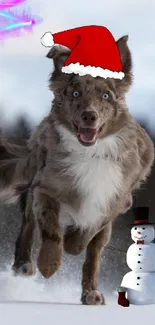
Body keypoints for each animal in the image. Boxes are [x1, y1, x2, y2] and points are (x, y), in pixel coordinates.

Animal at [0, 35, 154, 304]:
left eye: (106, 95)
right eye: (75, 93)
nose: (88, 116)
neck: (91, 152)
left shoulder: (115, 201)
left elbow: (88, 233)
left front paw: (73, 242)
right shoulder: (44, 188)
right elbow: (50, 229)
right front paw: (48, 264)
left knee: (93, 257)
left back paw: (91, 292)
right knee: (28, 228)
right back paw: (24, 265)